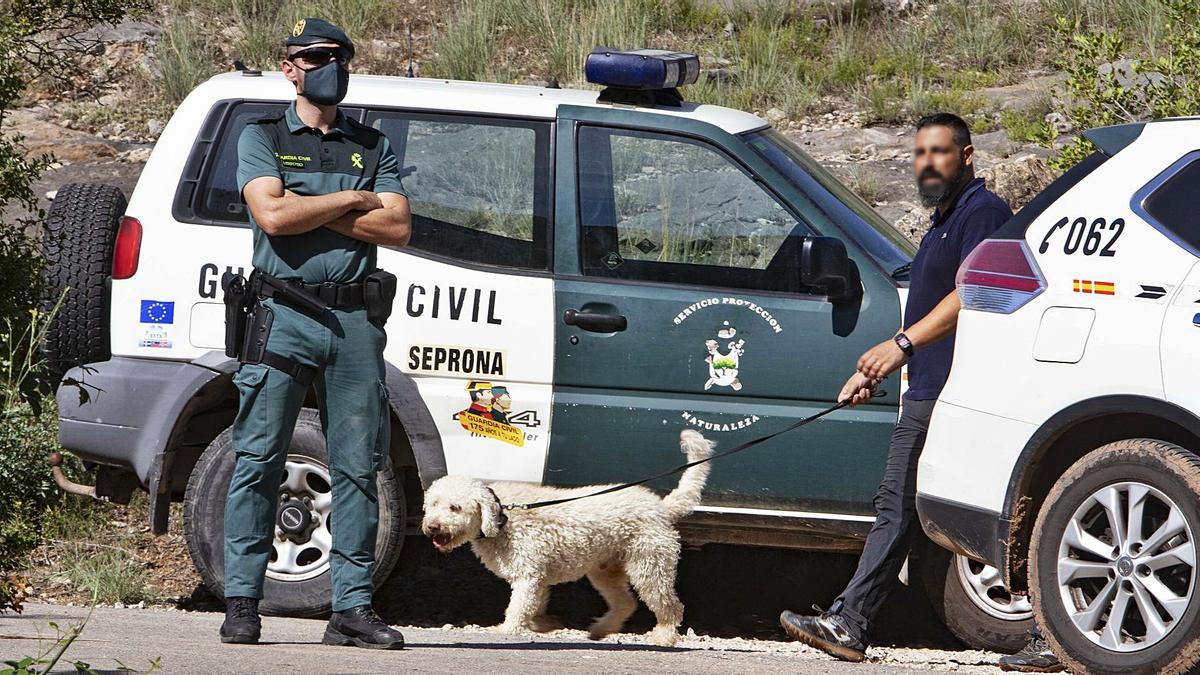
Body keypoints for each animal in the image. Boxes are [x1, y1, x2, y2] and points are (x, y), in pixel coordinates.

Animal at [420, 427, 710, 643]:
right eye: (432, 504)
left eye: (455, 507)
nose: (432, 526)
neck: (502, 517)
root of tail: (661, 507)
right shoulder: (539, 577)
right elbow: (536, 604)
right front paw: (544, 623)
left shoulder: (528, 574)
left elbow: (519, 605)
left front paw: (507, 629)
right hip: (606, 570)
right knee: (625, 603)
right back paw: (602, 629)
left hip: (650, 564)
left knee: (670, 605)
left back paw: (664, 636)